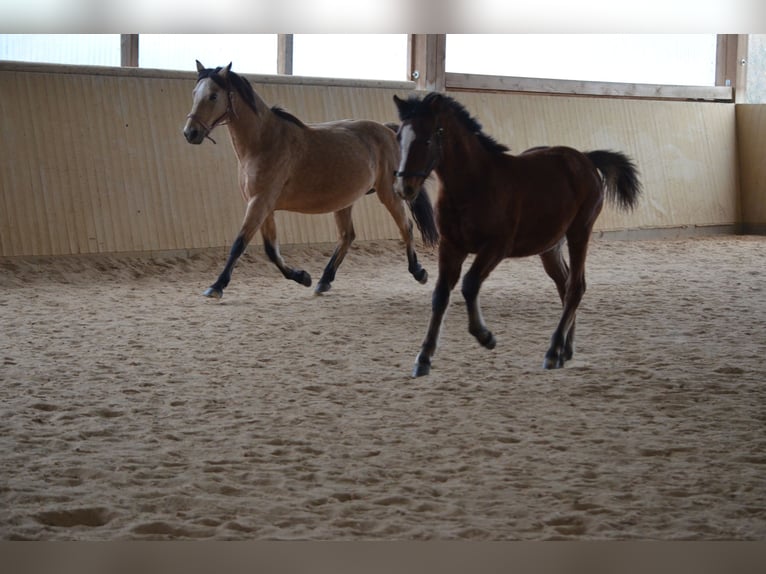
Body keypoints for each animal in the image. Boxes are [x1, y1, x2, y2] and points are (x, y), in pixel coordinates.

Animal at [182, 61, 438, 299]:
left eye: (213, 96)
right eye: (194, 93)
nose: (190, 132)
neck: (263, 142)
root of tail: (388, 132)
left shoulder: (259, 202)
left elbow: (239, 243)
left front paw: (216, 286)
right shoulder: (265, 206)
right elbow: (271, 249)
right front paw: (302, 277)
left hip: (389, 193)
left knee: (405, 227)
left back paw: (419, 272)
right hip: (345, 200)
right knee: (347, 236)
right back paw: (324, 281)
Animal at [393, 92, 642, 377]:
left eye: (427, 139)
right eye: (399, 137)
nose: (404, 188)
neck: (473, 183)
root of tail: (585, 159)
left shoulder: (496, 247)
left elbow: (469, 284)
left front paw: (485, 336)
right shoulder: (451, 246)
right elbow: (440, 295)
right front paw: (423, 358)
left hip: (580, 231)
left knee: (575, 287)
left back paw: (553, 351)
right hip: (550, 247)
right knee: (564, 284)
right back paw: (565, 350)